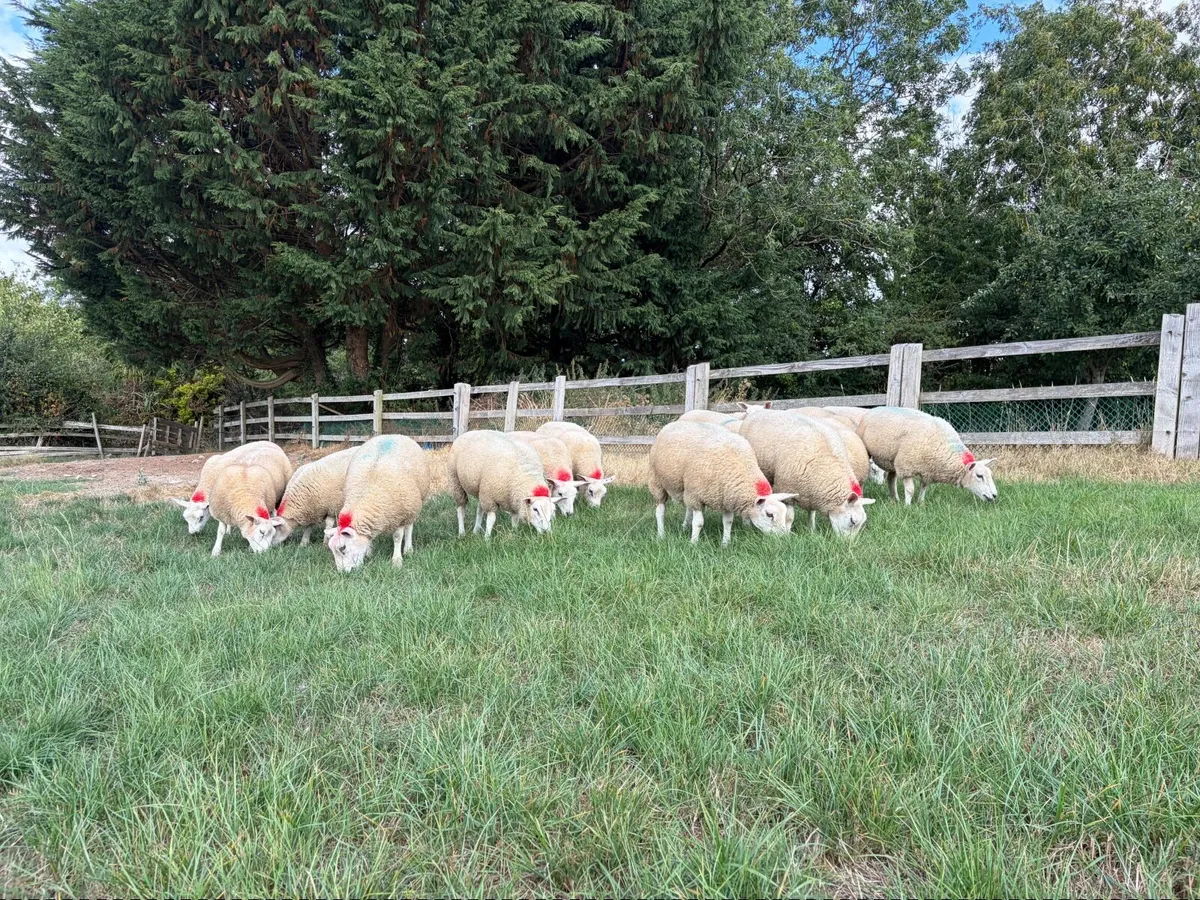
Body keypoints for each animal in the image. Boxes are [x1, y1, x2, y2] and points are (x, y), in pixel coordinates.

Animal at [327, 435, 432, 572]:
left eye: (342, 548)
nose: (343, 573)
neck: (365, 493)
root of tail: (393, 435)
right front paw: (368, 552)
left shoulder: (401, 515)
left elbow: (397, 537)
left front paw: (396, 560)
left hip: (413, 505)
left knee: (409, 527)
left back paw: (408, 549)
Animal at [648, 421, 796, 546]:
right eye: (769, 515)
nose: (784, 538)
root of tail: (674, 423)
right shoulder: (696, 496)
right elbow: (698, 523)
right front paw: (693, 543)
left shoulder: (726, 499)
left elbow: (728, 522)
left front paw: (725, 543)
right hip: (657, 482)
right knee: (660, 511)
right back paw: (661, 534)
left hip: (686, 489)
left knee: (688, 509)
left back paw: (685, 526)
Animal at [739, 410, 875, 536]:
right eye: (852, 521)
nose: (848, 543)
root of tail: (758, 411)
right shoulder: (787, 489)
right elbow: (789, 517)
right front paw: (788, 533)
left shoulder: (813, 493)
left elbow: (812, 514)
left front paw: (812, 530)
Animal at [856, 406, 997, 504]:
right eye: (979, 476)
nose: (995, 495)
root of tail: (874, 409)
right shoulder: (907, 466)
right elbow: (910, 490)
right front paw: (907, 506)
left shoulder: (928, 470)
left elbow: (923, 487)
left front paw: (921, 503)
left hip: (893, 459)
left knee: (891, 479)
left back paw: (895, 499)